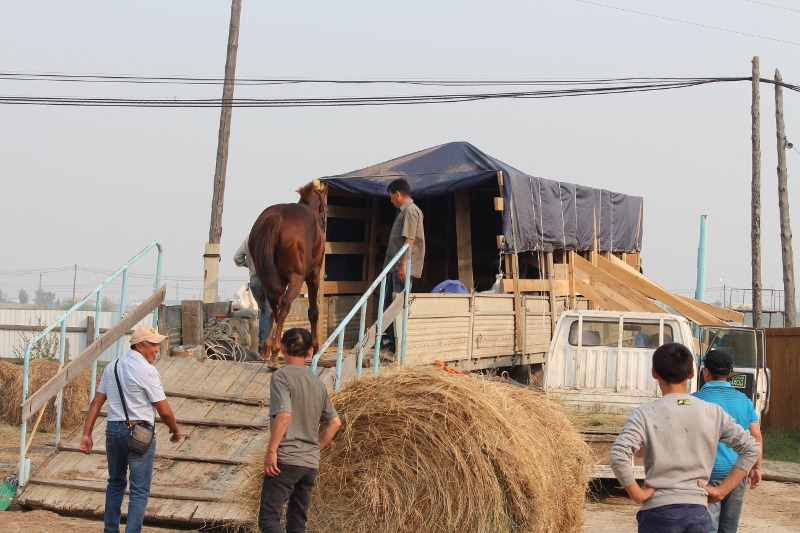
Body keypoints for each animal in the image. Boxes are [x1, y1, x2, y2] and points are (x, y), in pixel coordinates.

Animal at [248, 181, 326, 368]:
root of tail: (279, 216)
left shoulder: (280, 280)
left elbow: (271, 314)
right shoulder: (313, 276)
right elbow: (313, 311)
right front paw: (315, 348)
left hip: (269, 278)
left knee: (274, 306)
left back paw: (270, 350)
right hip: (297, 278)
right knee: (284, 306)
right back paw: (276, 353)